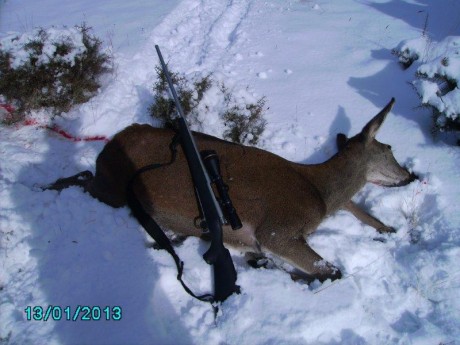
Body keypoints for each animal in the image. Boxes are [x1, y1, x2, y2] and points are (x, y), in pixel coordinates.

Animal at [46, 98, 416, 280]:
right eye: (389, 149)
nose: (410, 176)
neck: (319, 192)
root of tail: (109, 146)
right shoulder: (276, 229)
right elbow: (331, 270)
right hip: (113, 188)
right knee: (80, 179)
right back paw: (42, 184)